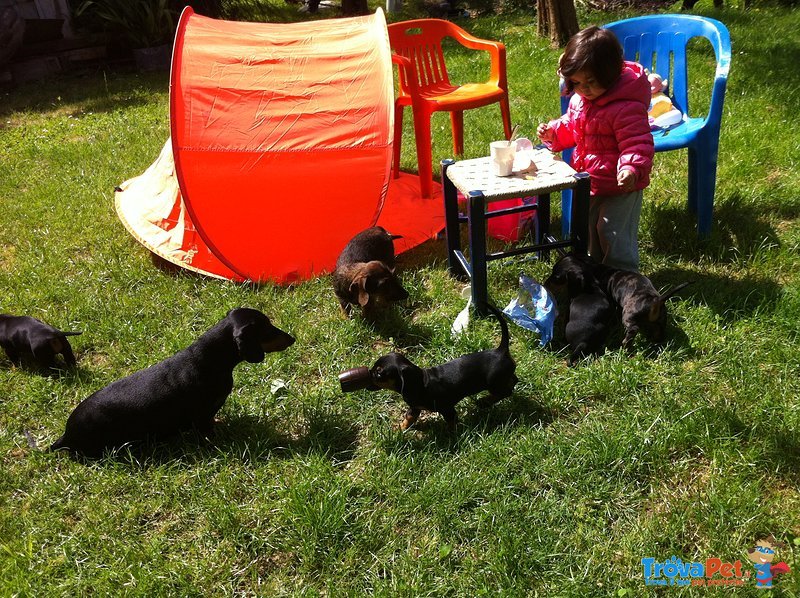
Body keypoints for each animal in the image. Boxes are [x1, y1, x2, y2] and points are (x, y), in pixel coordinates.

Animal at [50, 310, 296, 460]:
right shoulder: (202, 417)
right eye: (267, 328)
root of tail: (66, 434)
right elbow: (208, 431)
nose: (292, 339)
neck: (209, 359)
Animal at [366, 304, 516, 432]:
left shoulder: (447, 409)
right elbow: (408, 418)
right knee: (513, 381)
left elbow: (451, 423)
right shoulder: (415, 408)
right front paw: (399, 429)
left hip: (494, 383)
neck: (421, 383)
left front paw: (451, 437)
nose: (368, 373)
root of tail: (500, 350)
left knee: (506, 392)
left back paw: (484, 402)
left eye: (379, 373)